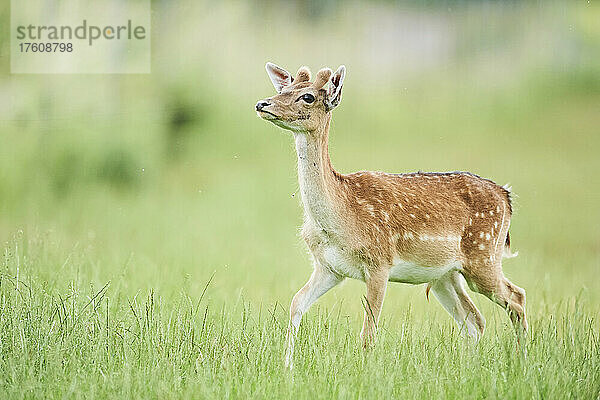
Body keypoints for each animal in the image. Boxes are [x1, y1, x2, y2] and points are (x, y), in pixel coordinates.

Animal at [255, 61, 528, 368]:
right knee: (474, 320)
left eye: (308, 97)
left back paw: (523, 361)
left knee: (516, 297)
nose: (262, 103)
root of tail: (506, 197)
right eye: (284, 90)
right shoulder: (329, 267)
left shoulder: (379, 262)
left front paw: (365, 370)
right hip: (445, 274)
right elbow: (296, 303)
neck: (340, 217)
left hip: (483, 256)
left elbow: (368, 332)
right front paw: (287, 366)